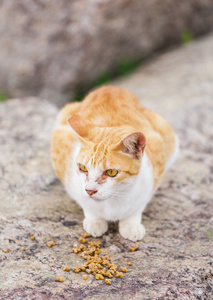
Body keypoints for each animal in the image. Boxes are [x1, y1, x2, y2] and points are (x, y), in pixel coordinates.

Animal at [50, 85, 179, 241]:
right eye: (82, 168)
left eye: (111, 172)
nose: (90, 190)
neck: (112, 202)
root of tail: (110, 87)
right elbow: (85, 203)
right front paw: (95, 221)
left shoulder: (154, 169)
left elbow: (138, 206)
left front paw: (131, 225)